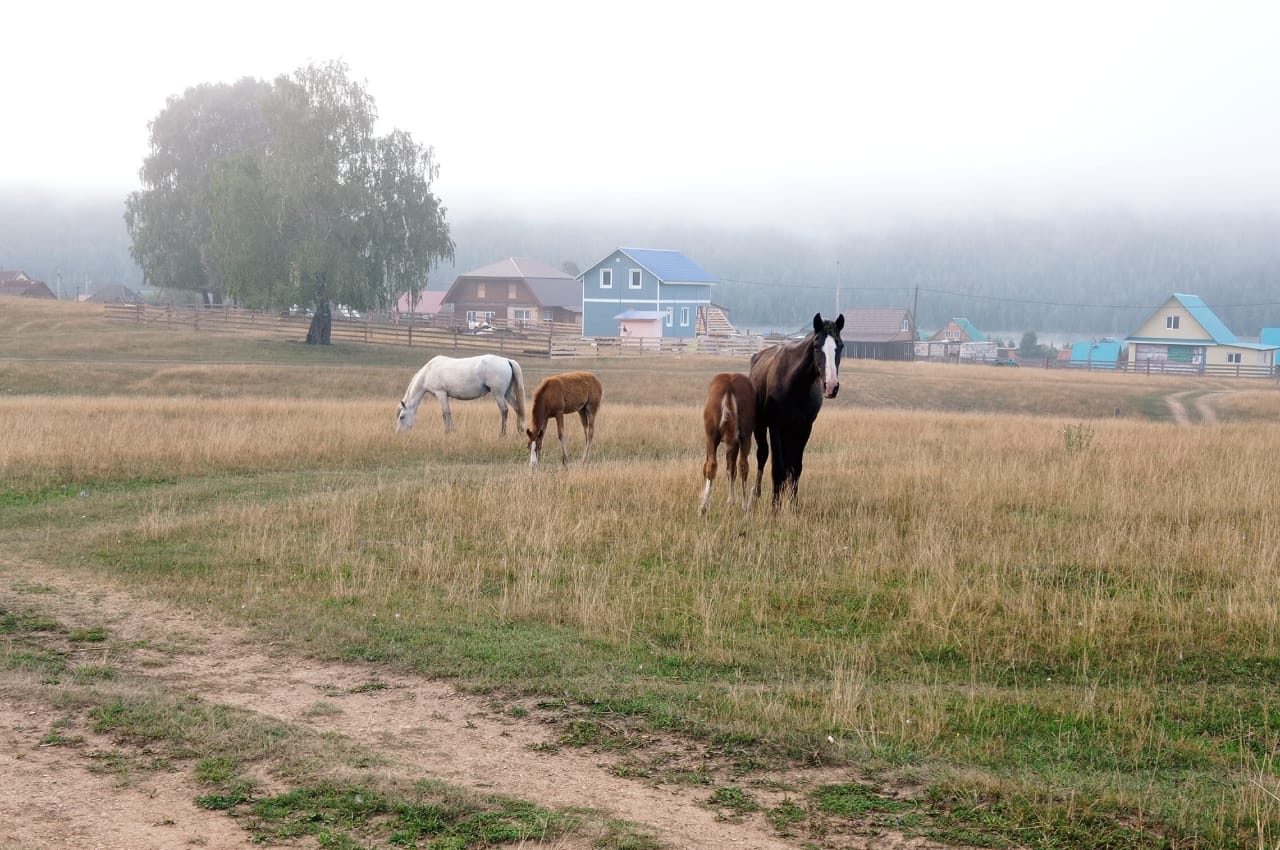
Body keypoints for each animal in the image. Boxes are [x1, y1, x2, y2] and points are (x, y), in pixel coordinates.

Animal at [394, 350, 524, 435]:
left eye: (401, 417)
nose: (398, 433)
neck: (428, 372)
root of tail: (507, 361)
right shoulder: (445, 395)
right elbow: (448, 413)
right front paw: (453, 431)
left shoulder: (441, 393)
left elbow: (445, 413)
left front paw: (447, 432)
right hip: (507, 394)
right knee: (517, 408)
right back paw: (520, 430)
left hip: (498, 394)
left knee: (504, 411)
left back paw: (502, 434)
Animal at [696, 373, 752, 517]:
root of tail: (729, 385)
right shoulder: (734, 442)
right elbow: (731, 468)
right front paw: (731, 502)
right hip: (745, 437)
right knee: (743, 465)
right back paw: (746, 509)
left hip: (712, 437)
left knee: (711, 465)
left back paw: (703, 508)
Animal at [747, 313, 839, 506]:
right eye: (816, 346)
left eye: (840, 346)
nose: (831, 386)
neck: (795, 382)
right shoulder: (775, 426)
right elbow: (778, 468)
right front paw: (775, 507)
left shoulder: (804, 428)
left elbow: (795, 468)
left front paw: (793, 505)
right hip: (761, 426)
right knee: (763, 455)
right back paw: (756, 494)